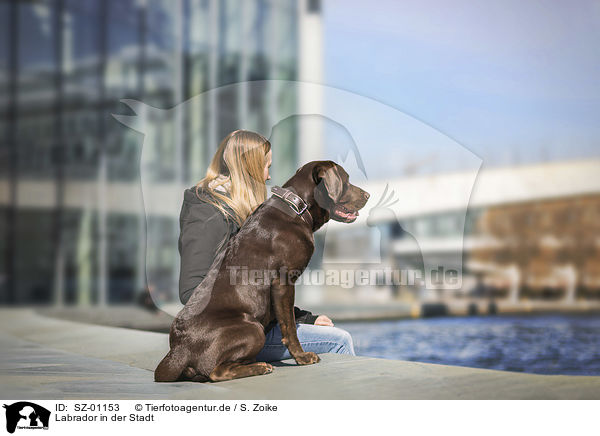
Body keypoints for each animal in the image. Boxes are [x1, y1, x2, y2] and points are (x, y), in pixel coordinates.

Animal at [154, 160, 370, 382]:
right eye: (346, 180)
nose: (368, 195)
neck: (297, 207)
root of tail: (178, 350)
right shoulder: (283, 281)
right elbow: (290, 326)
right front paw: (302, 357)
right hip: (252, 328)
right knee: (216, 372)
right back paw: (259, 367)